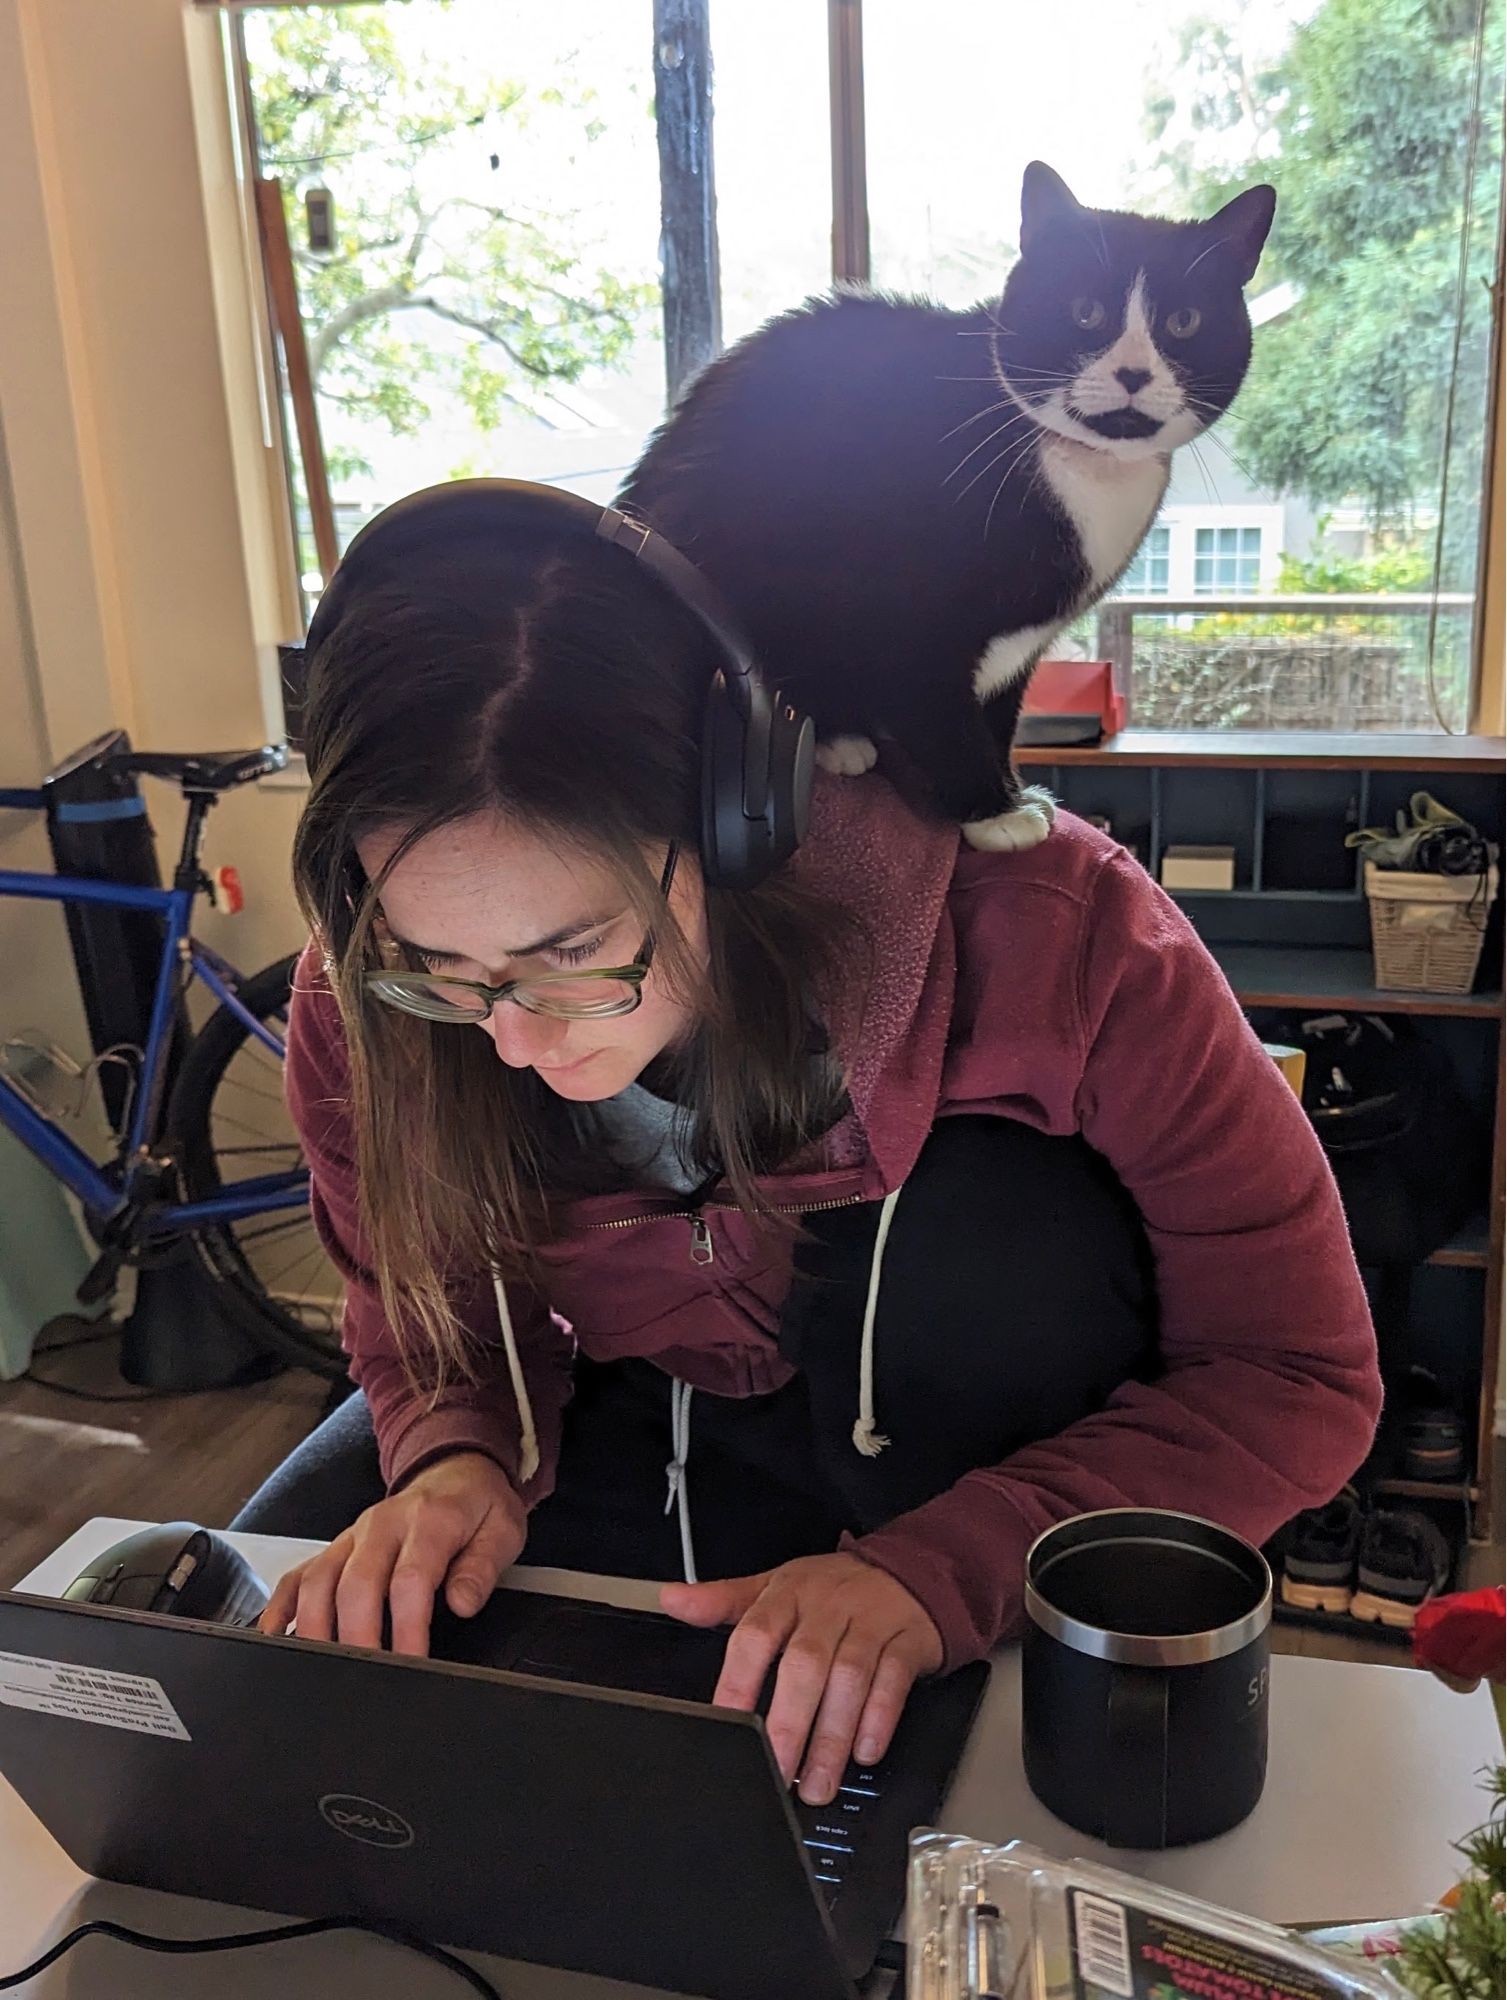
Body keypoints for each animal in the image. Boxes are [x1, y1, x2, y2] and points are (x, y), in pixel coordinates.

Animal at [615, 170, 1271, 852]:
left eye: (1185, 321)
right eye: (1085, 312)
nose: (1135, 373)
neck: (1085, 474)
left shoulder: (1021, 640)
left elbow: (999, 715)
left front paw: (1013, 791)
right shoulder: (911, 613)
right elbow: (940, 710)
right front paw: (991, 812)